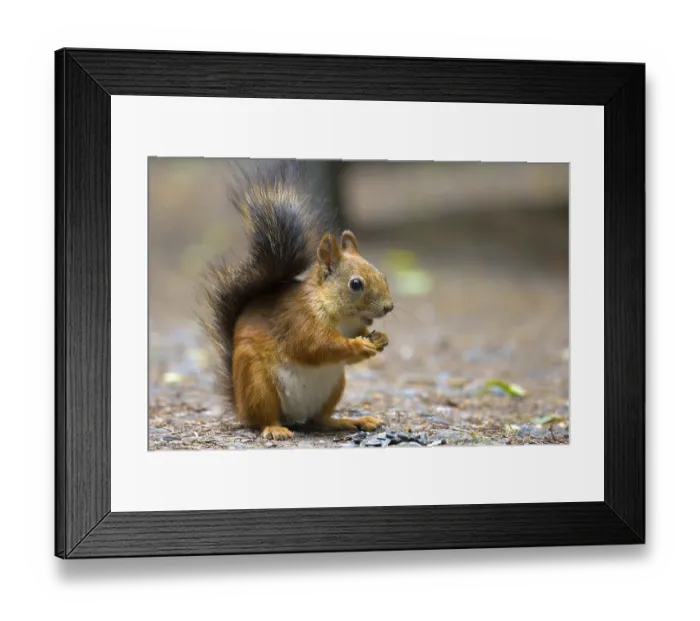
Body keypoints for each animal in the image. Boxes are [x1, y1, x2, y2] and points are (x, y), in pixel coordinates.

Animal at [202, 162, 394, 441]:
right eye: (356, 284)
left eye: (382, 275)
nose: (389, 307)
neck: (341, 317)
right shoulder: (298, 320)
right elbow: (316, 346)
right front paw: (358, 345)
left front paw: (380, 339)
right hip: (257, 382)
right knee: (264, 418)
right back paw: (275, 428)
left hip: (335, 385)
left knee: (320, 420)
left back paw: (351, 421)